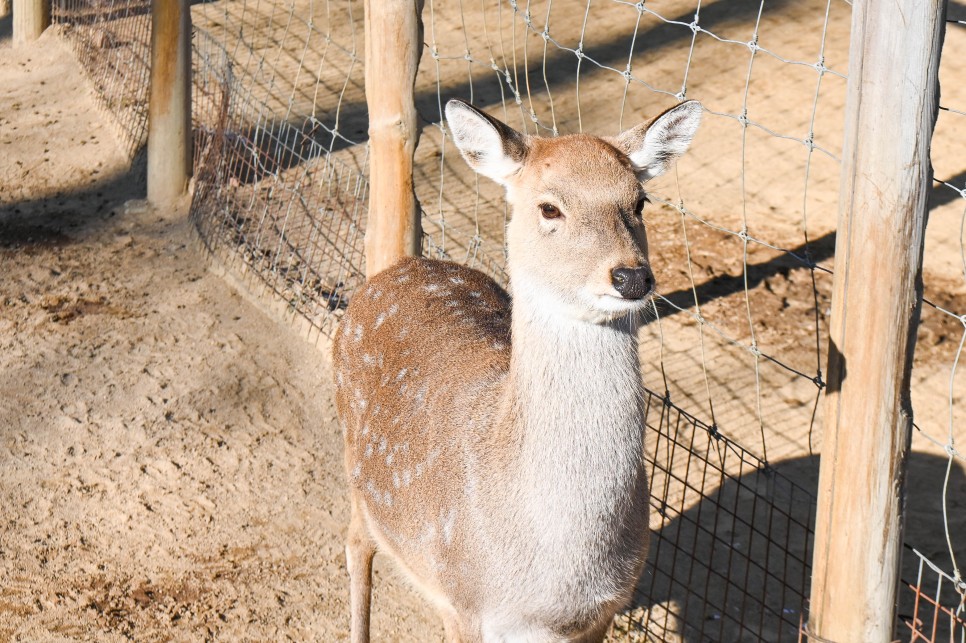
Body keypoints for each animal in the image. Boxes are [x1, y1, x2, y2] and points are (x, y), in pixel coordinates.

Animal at [332, 98, 704, 640]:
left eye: (639, 202)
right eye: (549, 207)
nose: (632, 276)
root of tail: (397, 267)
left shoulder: (604, 612)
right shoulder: (466, 604)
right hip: (356, 471)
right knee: (357, 543)